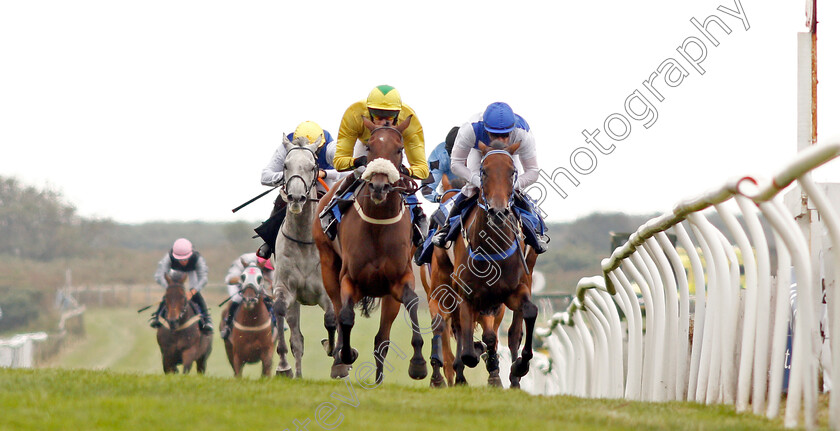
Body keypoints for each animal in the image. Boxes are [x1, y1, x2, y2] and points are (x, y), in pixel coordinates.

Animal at [270, 134, 334, 378]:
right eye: (286, 165)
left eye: (312, 167)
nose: (296, 197)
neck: (306, 240)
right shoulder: (286, 288)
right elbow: (280, 310)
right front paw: (283, 367)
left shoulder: (328, 292)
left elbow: (332, 319)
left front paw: (336, 354)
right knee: (297, 339)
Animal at [316, 116, 430, 384]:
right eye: (369, 147)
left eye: (399, 149)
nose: (379, 187)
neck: (377, 224)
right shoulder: (349, 278)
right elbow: (346, 316)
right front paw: (346, 355)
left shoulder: (400, 278)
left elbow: (412, 302)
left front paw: (418, 364)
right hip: (328, 266)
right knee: (338, 311)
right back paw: (339, 360)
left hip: (388, 295)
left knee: (382, 338)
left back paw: (378, 379)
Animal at [452, 141, 540, 388]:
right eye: (484, 171)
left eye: (512, 172)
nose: (499, 212)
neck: (492, 248)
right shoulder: (467, 296)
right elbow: (469, 352)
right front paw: (477, 351)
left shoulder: (514, 290)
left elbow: (530, 312)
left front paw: (520, 365)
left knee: (514, 331)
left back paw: (514, 378)